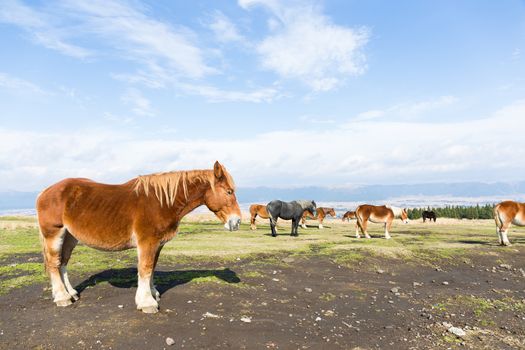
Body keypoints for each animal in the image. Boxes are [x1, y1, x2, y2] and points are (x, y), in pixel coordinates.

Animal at [35, 163, 241, 314]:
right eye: (229, 191)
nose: (236, 221)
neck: (161, 202)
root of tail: (45, 191)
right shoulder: (147, 242)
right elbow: (145, 268)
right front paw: (147, 302)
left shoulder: (157, 244)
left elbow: (152, 268)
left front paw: (153, 293)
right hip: (54, 233)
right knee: (54, 263)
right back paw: (62, 298)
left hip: (70, 236)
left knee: (63, 262)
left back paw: (71, 293)